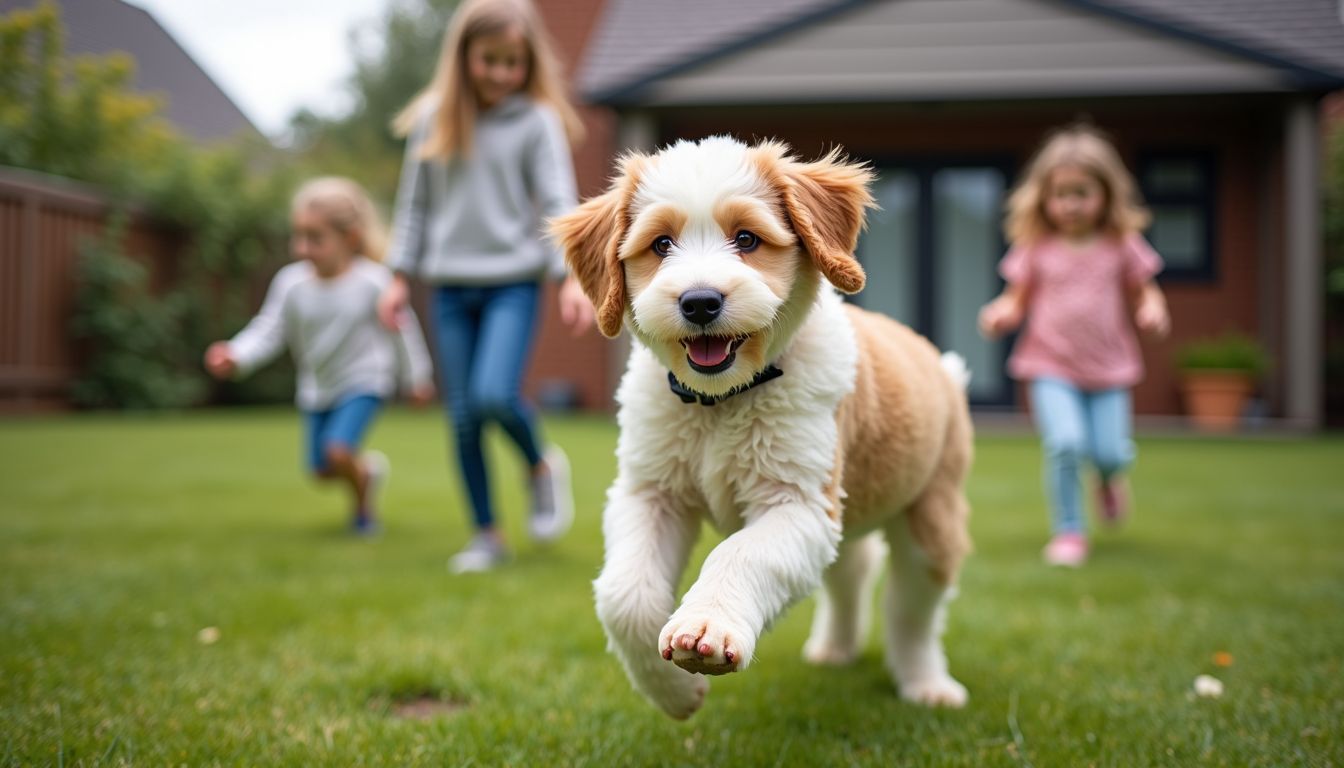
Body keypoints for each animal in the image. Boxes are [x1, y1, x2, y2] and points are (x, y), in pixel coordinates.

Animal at [551, 135, 973, 720]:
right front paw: (674, 692)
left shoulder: (798, 503)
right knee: (852, 569)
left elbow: (739, 552)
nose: (700, 302)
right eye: (661, 244)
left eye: (746, 238)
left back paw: (926, 684)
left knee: (911, 610)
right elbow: (624, 596)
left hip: (931, 516)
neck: (720, 404)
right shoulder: (650, 492)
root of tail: (941, 364)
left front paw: (706, 627)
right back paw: (835, 649)